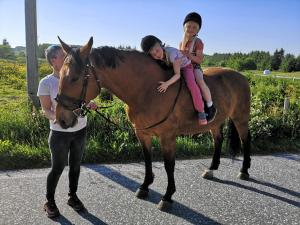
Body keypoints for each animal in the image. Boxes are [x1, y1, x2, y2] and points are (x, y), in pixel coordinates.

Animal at [55, 37, 251, 211]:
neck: (148, 90)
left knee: (245, 140)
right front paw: (144, 186)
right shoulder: (142, 134)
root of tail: (240, 76)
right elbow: (147, 159)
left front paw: (167, 196)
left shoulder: (167, 137)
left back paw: (244, 171)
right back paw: (211, 169)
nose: (62, 119)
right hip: (215, 123)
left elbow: (169, 165)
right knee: (218, 139)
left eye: (75, 78)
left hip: (240, 117)